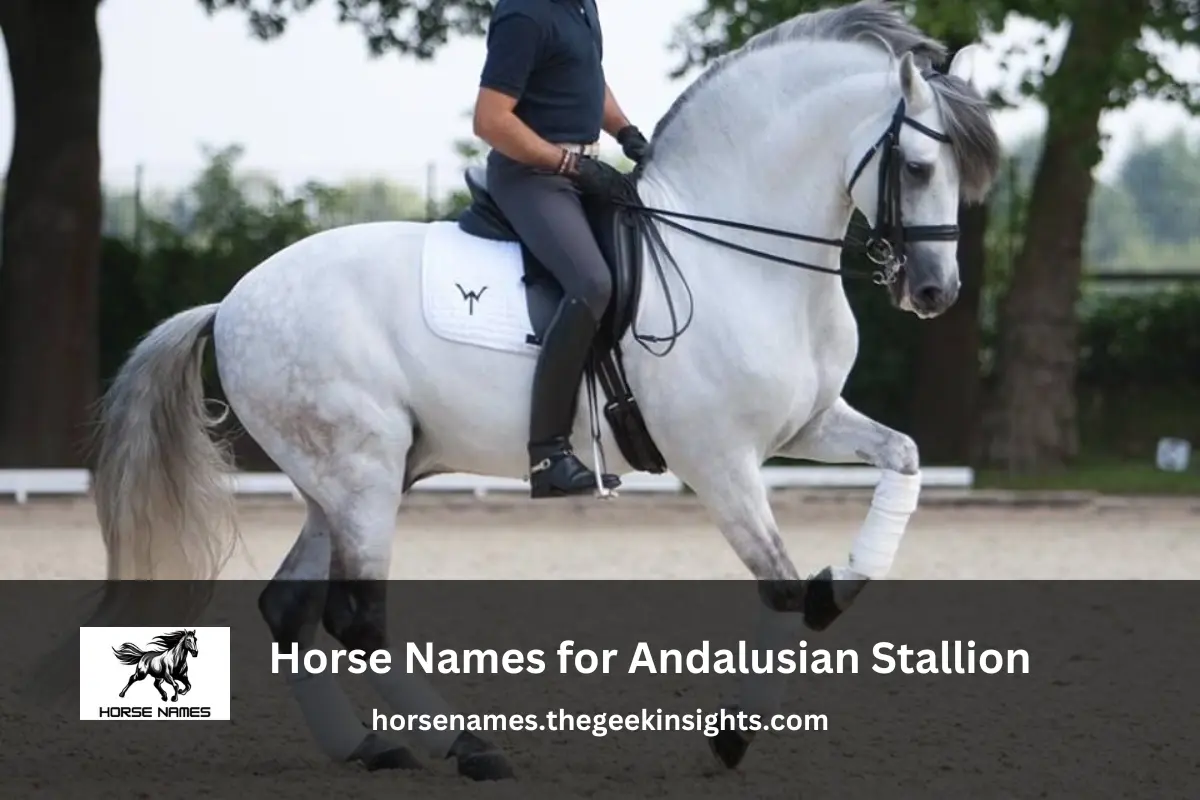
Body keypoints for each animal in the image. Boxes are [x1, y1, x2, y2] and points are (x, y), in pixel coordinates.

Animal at [56, 0, 1000, 781]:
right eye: (920, 166)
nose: (934, 292)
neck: (736, 255)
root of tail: (231, 303)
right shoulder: (718, 458)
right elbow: (778, 585)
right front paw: (732, 737)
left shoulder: (807, 424)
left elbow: (904, 459)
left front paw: (847, 582)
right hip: (361, 473)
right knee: (357, 618)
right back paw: (469, 749)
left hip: (350, 479)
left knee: (290, 608)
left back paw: (369, 747)